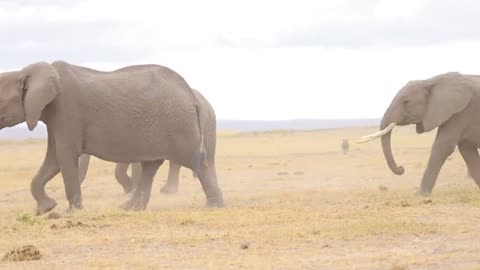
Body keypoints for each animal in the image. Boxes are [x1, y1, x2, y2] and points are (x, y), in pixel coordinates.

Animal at [0, 61, 224, 215]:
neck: (25, 72)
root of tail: (191, 95)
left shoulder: (66, 111)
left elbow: (64, 156)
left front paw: (70, 212)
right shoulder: (55, 116)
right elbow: (54, 159)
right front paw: (46, 209)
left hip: (179, 123)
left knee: (194, 159)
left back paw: (214, 205)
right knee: (151, 166)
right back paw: (129, 208)